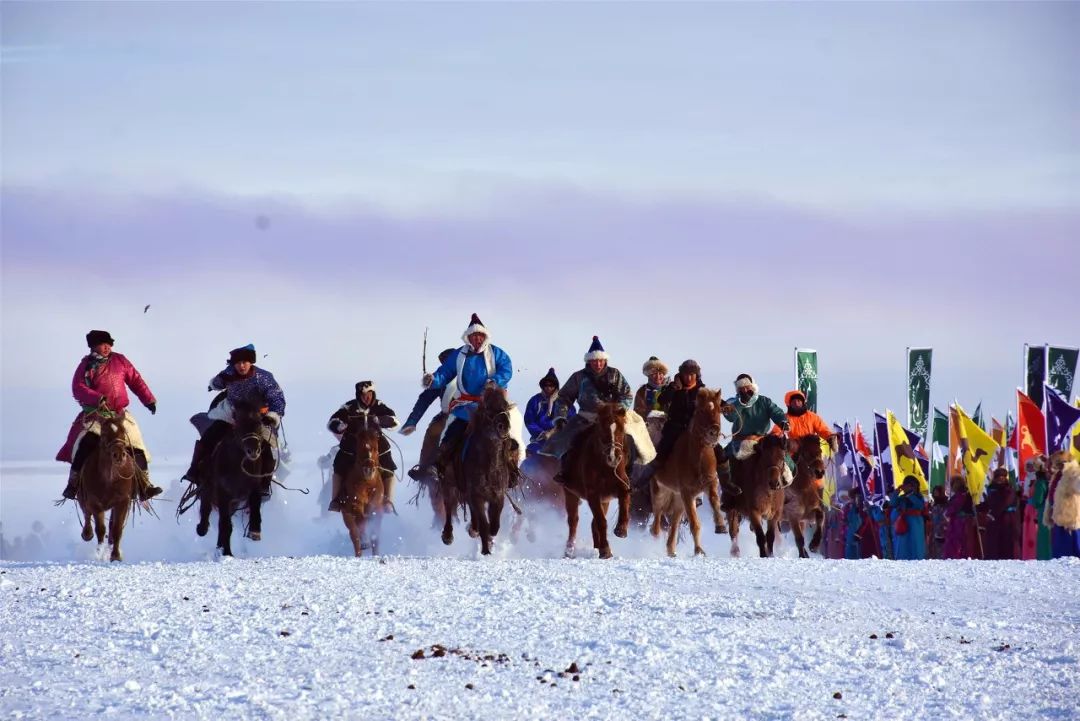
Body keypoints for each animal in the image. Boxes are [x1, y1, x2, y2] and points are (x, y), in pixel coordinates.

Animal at [76, 410, 139, 561]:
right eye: (104, 432)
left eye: (124, 431)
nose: (119, 455)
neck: (109, 479)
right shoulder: (95, 502)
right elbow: (100, 529)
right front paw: (100, 553)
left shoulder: (123, 502)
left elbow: (116, 529)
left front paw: (115, 555)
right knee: (87, 515)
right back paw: (87, 534)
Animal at [197, 399, 276, 556]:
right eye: (239, 424)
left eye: (259, 423)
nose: (253, 451)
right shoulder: (223, 495)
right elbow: (225, 525)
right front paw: (227, 552)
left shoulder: (254, 488)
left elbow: (255, 508)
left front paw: (255, 531)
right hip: (209, 488)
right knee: (206, 506)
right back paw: (202, 529)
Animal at [341, 416, 388, 556]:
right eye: (360, 447)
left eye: (376, 448)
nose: (368, 468)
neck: (367, 484)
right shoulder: (355, 504)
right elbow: (361, 522)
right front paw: (365, 542)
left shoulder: (377, 507)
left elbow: (375, 534)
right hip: (347, 517)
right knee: (354, 535)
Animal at [561, 403, 630, 561]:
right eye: (602, 428)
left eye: (621, 429)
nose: (613, 457)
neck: (604, 467)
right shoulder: (593, 494)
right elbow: (601, 522)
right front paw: (606, 551)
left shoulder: (619, 486)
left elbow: (624, 499)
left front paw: (621, 529)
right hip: (570, 493)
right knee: (573, 521)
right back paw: (569, 551)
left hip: (605, 501)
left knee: (593, 524)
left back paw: (596, 548)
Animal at [648, 388, 725, 556]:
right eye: (701, 410)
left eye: (719, 410)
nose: (714, 432)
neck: (698, 458)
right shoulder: (687, 492)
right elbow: (695, 523)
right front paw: (699, 551)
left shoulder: (710, 484)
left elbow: (715, 502)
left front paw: (721, 526)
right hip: (660, 492)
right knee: (656, 524)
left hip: (677, 500)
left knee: (674, 523)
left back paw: (671, 551)